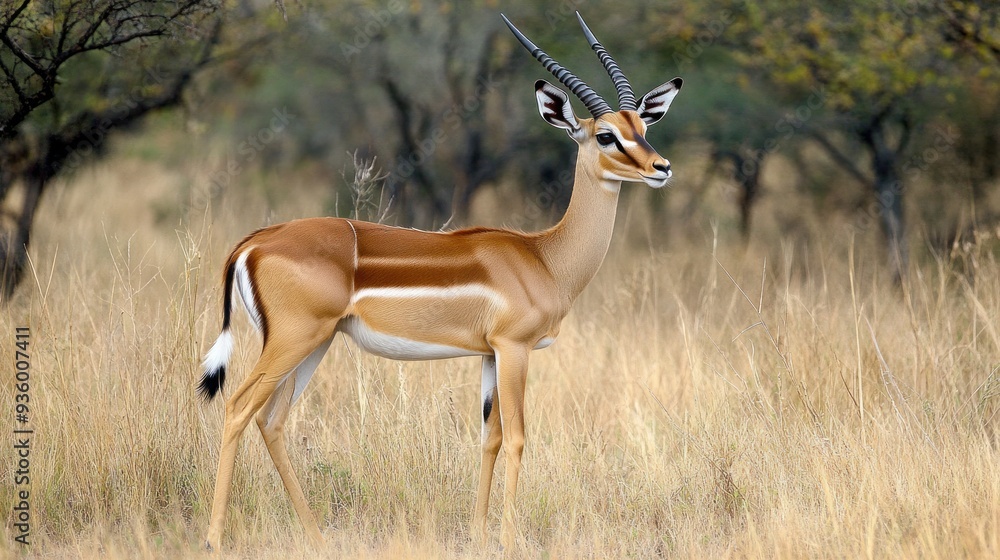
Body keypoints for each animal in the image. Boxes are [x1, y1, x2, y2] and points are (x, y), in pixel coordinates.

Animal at [198, 12, 682, 552]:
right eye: (605, 136)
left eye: (643, 126)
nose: (661, 168)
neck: (545, 257)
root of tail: (254, 242)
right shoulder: (514, 349)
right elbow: (518, 437)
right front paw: (509, 540)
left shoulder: (489, 355)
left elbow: (490, 438)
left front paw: (479, 534)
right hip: (292, 341)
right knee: (238, 407)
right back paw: (213, 538)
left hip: (314, 345)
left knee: (272, 420)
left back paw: (316, 537)